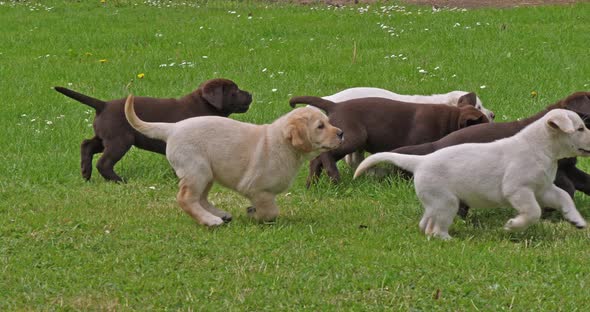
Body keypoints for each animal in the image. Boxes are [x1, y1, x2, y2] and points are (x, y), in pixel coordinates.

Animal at [56, 78, 256, 182]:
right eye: (235, 90)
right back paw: (119, 180)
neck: (204, 105)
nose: (251, 94)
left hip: (105, 136)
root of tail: (103, 105)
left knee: (87, 145)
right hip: (120, 140)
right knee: (103, 162)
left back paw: (85, 172)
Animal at [126, 95, 346, 227]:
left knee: (200, 198)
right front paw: (256, 215)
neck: (283, 144)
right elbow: (271, 211)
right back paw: (210, 221)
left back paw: (220, 214)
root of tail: (173, 128)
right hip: (197, 169)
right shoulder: (258, 189)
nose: (341, 133)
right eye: (320, 126)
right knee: (186, 198)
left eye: (328, 122)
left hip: (207, 173)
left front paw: (251, 212)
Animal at [290, 93, 490, 185]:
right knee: (325, 155)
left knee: (316, 160)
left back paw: (312, 184)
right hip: (353, 137)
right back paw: (333, 175)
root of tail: (334, 105)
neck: (450, 120)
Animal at [356, 109, 590, 239]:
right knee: (436, 227)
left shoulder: (544, 189)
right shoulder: (518, 190)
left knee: (426, 223)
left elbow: (564, 197)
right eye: (580, 129)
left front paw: (576, 220)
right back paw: (447, 239)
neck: (540, 148)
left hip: (435, 202)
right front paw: (513, 225)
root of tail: (421, 161)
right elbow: (533, 212)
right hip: (447, 202)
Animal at [394, 91, 590, 216]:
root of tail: (438, 144)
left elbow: (584, 181)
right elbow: (569, 188)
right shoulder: (555, 171)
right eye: (582, 126)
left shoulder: (569, 168)